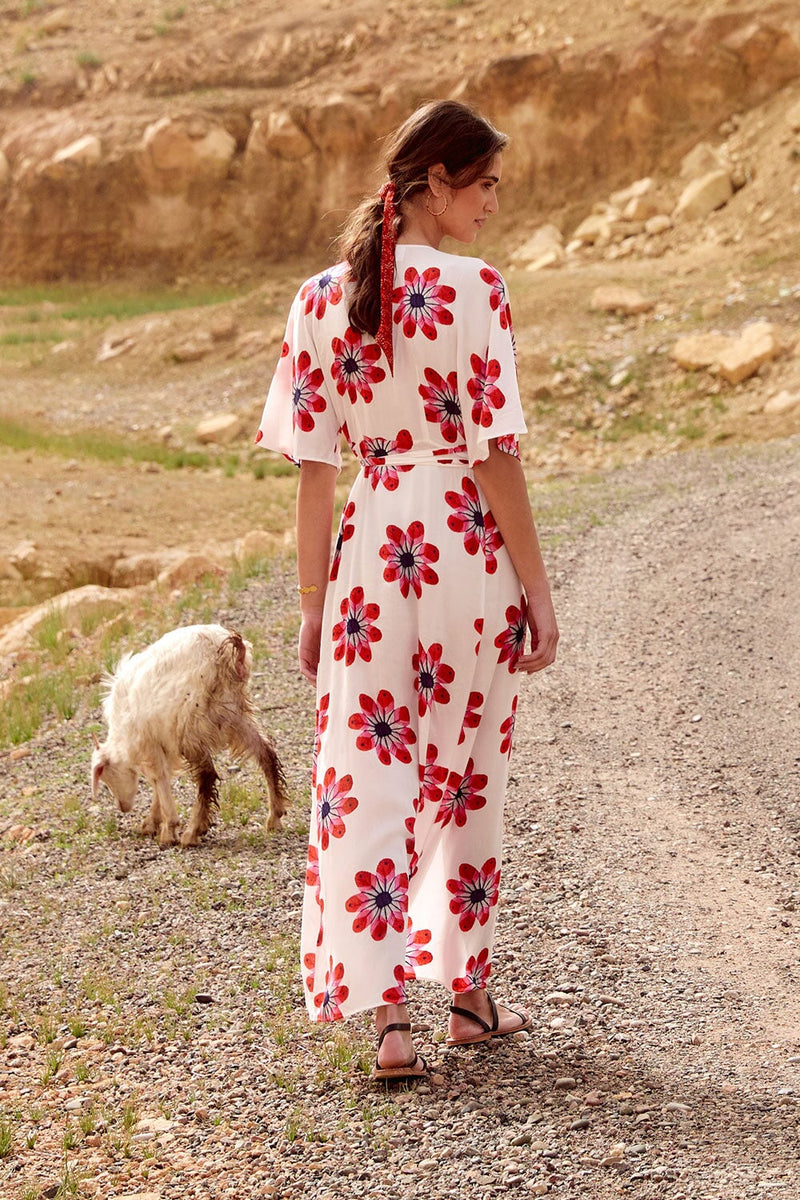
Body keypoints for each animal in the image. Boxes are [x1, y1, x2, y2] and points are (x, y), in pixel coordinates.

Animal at [90, 624, 287, 849]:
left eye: (107, 776)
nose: (122, 807)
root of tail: (227, 651)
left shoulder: (148, 743)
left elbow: (158, 778)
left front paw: (169, 829)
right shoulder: (163, 744)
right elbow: (160, 779)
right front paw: (152, 822)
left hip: (191, 724)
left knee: (207, 775)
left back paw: (192, 832)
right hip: (234, 714)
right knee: (266, 753)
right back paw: (275, 816)